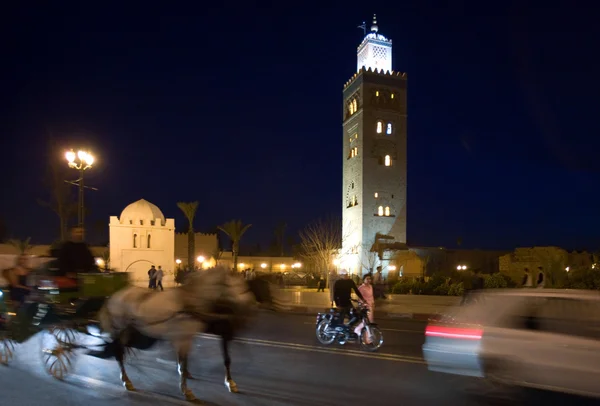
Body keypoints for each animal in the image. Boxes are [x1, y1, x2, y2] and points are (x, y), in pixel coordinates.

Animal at [93, 266, 278, 402]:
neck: (191, 301)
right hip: (120, 330)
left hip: (130, 330)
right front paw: (187, 390)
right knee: (118, 353)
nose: (250, 305)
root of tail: (113, 297)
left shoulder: (187, 336)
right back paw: (126, 380)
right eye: (234, 286)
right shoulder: (185, 336)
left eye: (246, 286)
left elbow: (186, 361)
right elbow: (185, 362)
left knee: (122, 350)